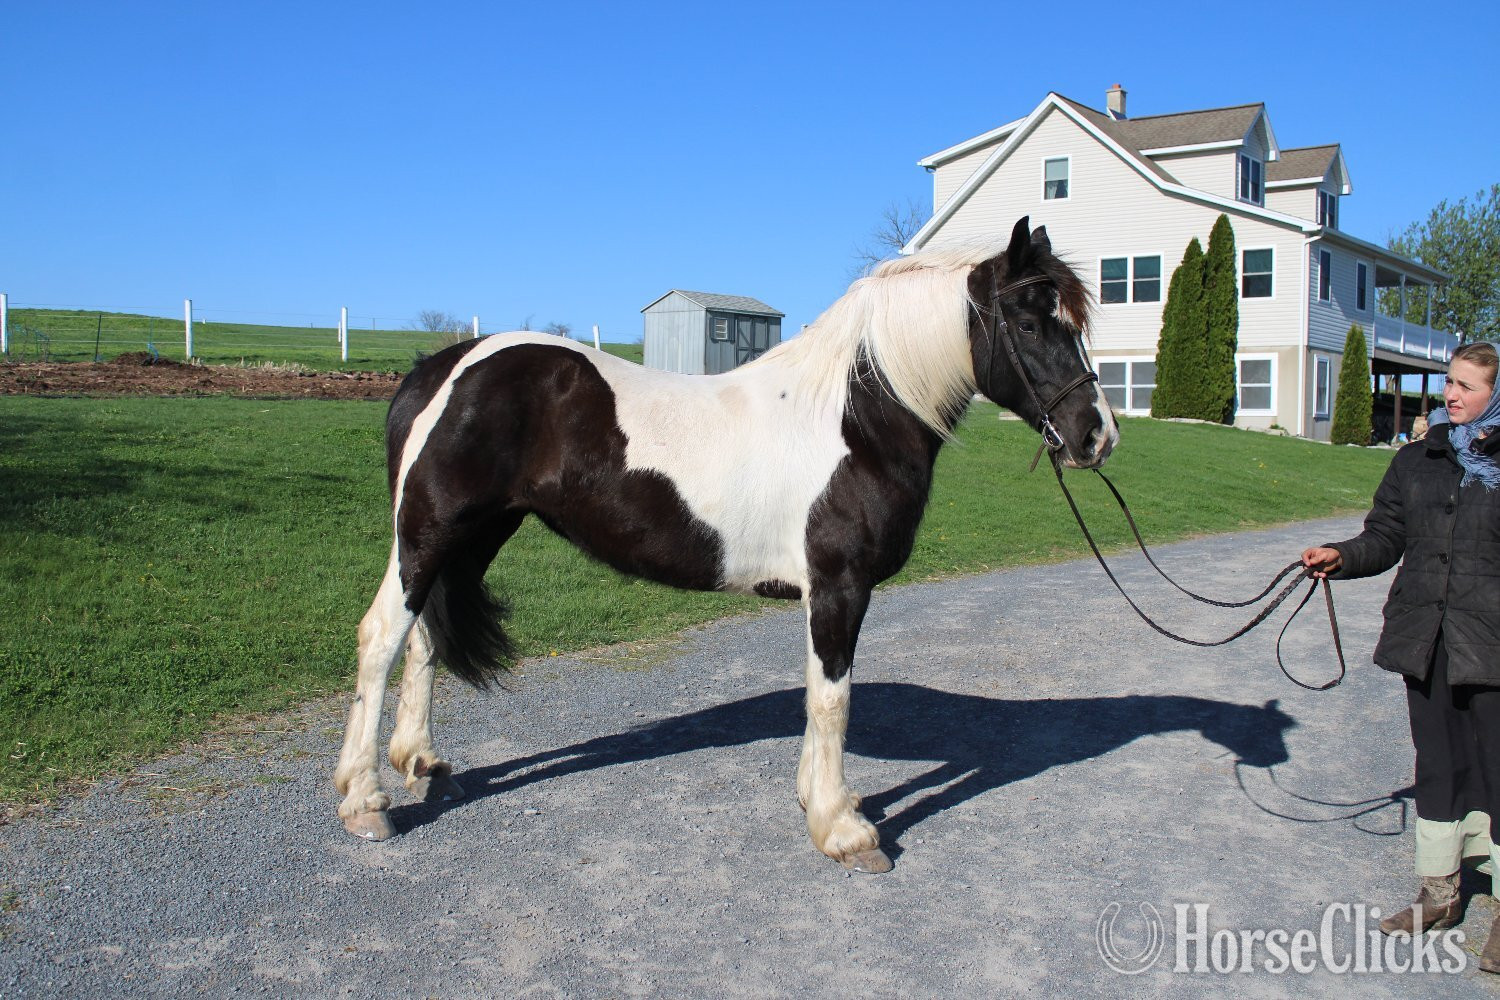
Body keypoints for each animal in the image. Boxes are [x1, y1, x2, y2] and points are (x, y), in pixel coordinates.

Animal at [334, 216, 1119, 873]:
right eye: (1030, 320)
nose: (1096, 435)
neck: (855, 417)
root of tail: (438, 370)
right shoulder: (839, 586)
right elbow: (833, 700)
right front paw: (843, 831)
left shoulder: (824, 594)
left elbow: (816, 696)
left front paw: (820, 801)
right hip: (428, 532)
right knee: (383, 634)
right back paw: (363, 802)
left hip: (474, 534)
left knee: (425, 635)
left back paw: (421, 762)